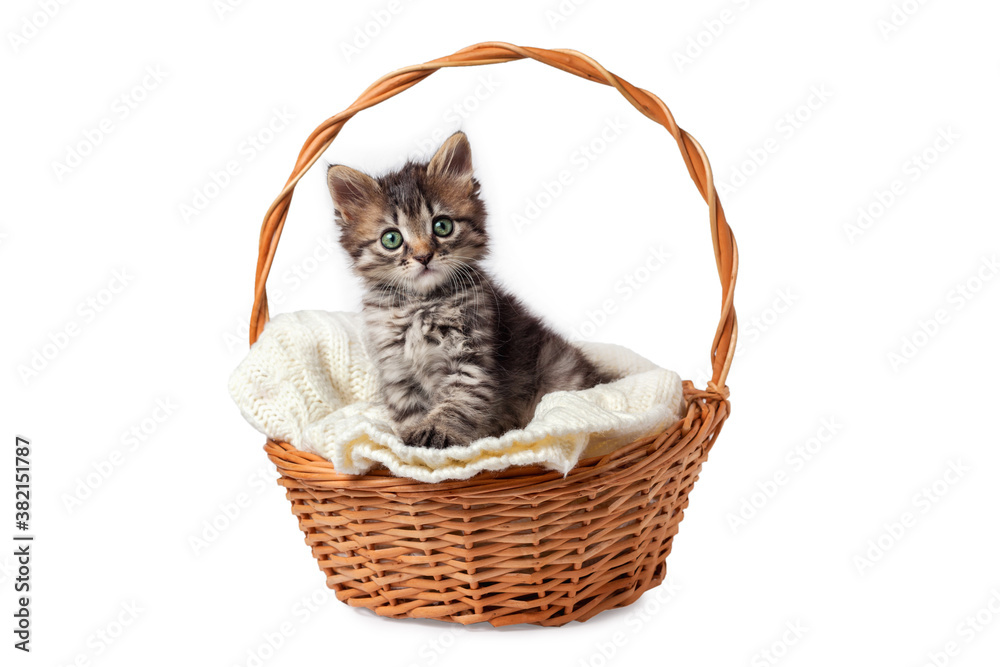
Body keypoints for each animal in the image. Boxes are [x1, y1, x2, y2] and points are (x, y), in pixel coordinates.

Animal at [328, 132, 608, 448]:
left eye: (442, 226)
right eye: (391, 239)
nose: (424, 256)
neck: (421, 304)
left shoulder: (470, 359)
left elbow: (459, 400)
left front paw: (436, 432)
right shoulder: (396, 368)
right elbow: (407, 409)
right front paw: (409, 438)